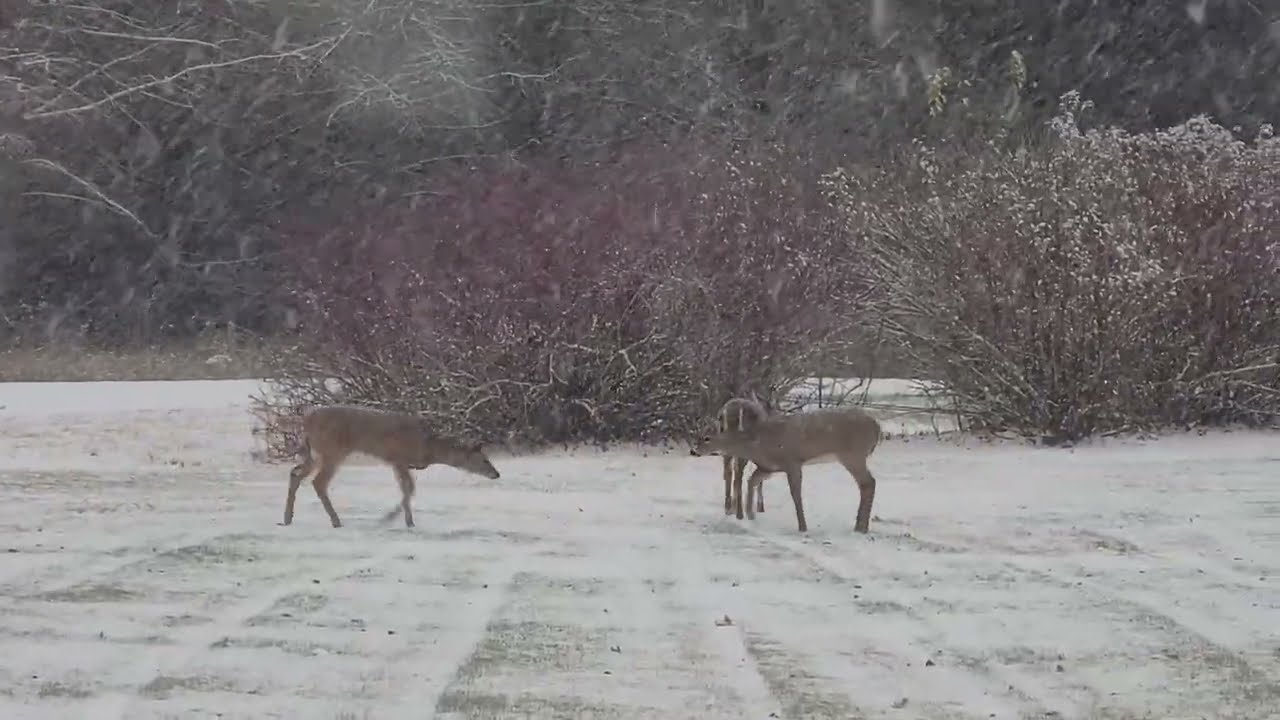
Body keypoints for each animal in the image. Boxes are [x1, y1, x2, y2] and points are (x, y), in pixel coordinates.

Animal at [283, 404, 501, 529]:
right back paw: (336, 521)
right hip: (332, 450)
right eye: (484, 460)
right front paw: (392, 518)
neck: (428, 447)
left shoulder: (398, 463)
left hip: (315, 452)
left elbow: (407, 488)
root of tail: (307, 420)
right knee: (318, 482)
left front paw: (407, 520)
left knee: (295, 473)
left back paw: (287, 518)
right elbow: (409, 488)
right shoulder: (398, 458)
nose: (496, 474)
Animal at [691, 404, 882, 534]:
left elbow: (795, 494)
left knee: (869, 483)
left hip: (853, 455)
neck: (756, 443)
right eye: (697, 435)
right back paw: (860, 526)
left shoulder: (792, 462)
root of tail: (877, 427)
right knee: (867, 484)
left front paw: (803, 527)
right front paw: (750, 515)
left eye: (706, 438)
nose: (693, 450)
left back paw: (861, 527)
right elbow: (752, 480)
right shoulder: (769, 467)